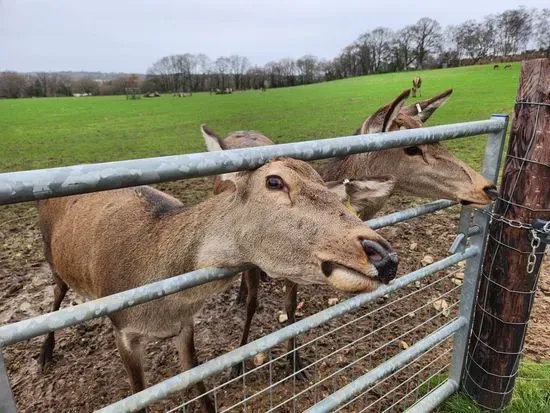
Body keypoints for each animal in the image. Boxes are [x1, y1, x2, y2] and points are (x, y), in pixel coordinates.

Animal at [36, 157, 398, 412]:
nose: (384, 256)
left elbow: (199, 388)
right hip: (52, 259)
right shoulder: (123, 330)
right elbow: (139, 398)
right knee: (55, 296)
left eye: (325, 185)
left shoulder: (185, 325)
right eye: (275, 181)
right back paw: (44, 355)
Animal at [202, 88, 500, 378]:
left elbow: (291, 308)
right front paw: (237, 364)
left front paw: (296, 363)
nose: (488, 187)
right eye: (412, 148)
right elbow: (253, 305)